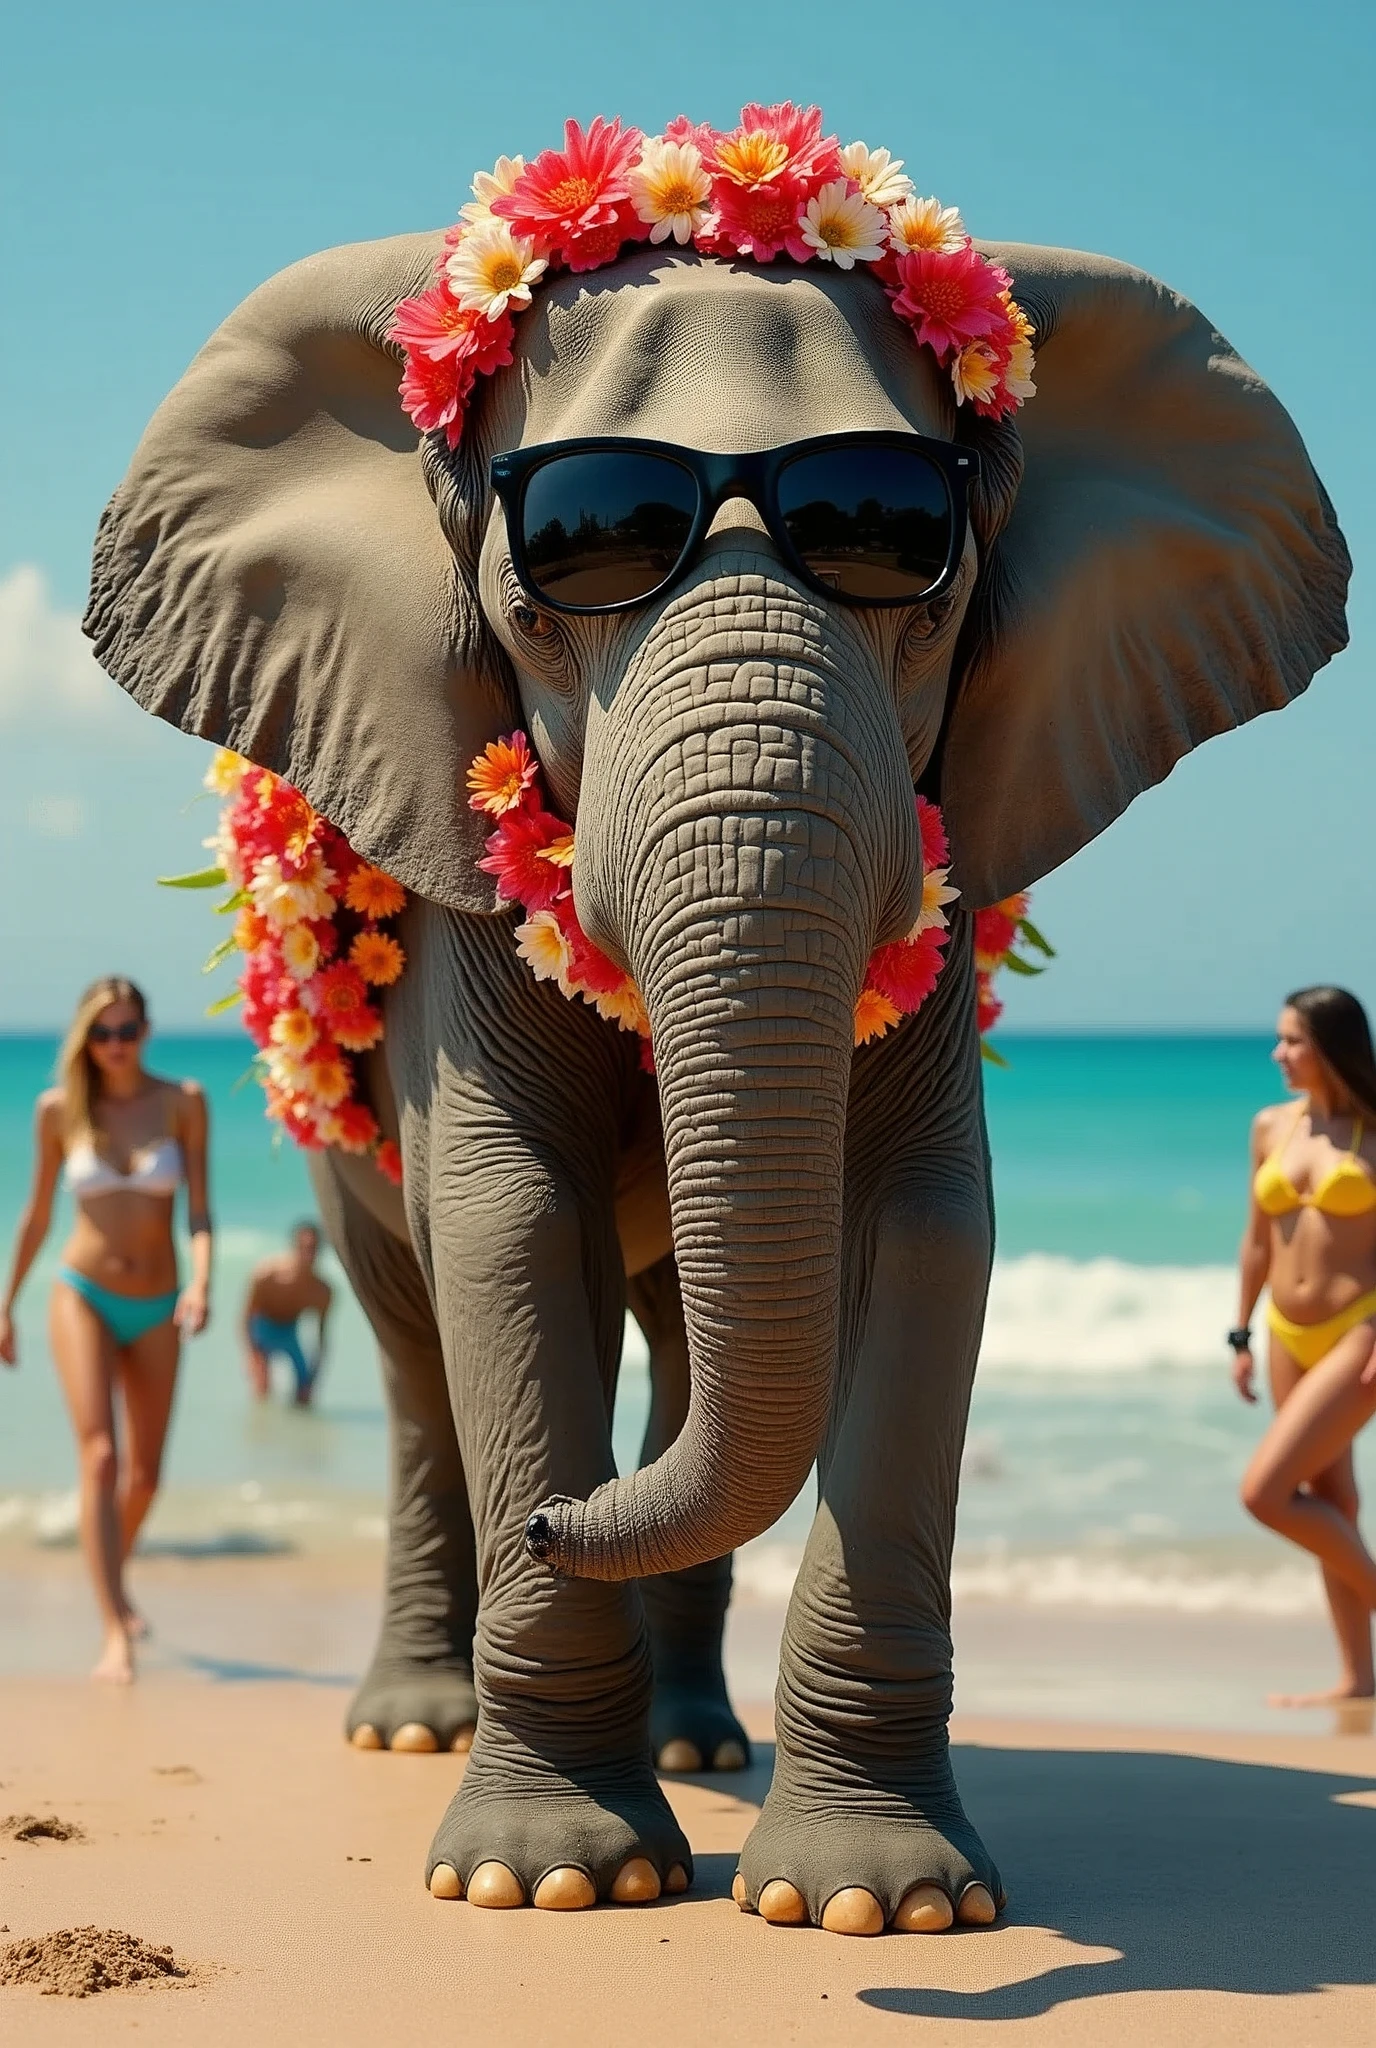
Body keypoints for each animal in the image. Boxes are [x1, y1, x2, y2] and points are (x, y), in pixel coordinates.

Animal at [83, 228, 1343, 1933]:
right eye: (551, 585)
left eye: (921, 570)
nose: (554, 1522)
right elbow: (506, 1219)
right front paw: (544, 1880)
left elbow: (928, 1222)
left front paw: (880, 1901)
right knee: (414, 1347)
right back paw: (417, 1724)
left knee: (683, 1338)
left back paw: (698, 1746)